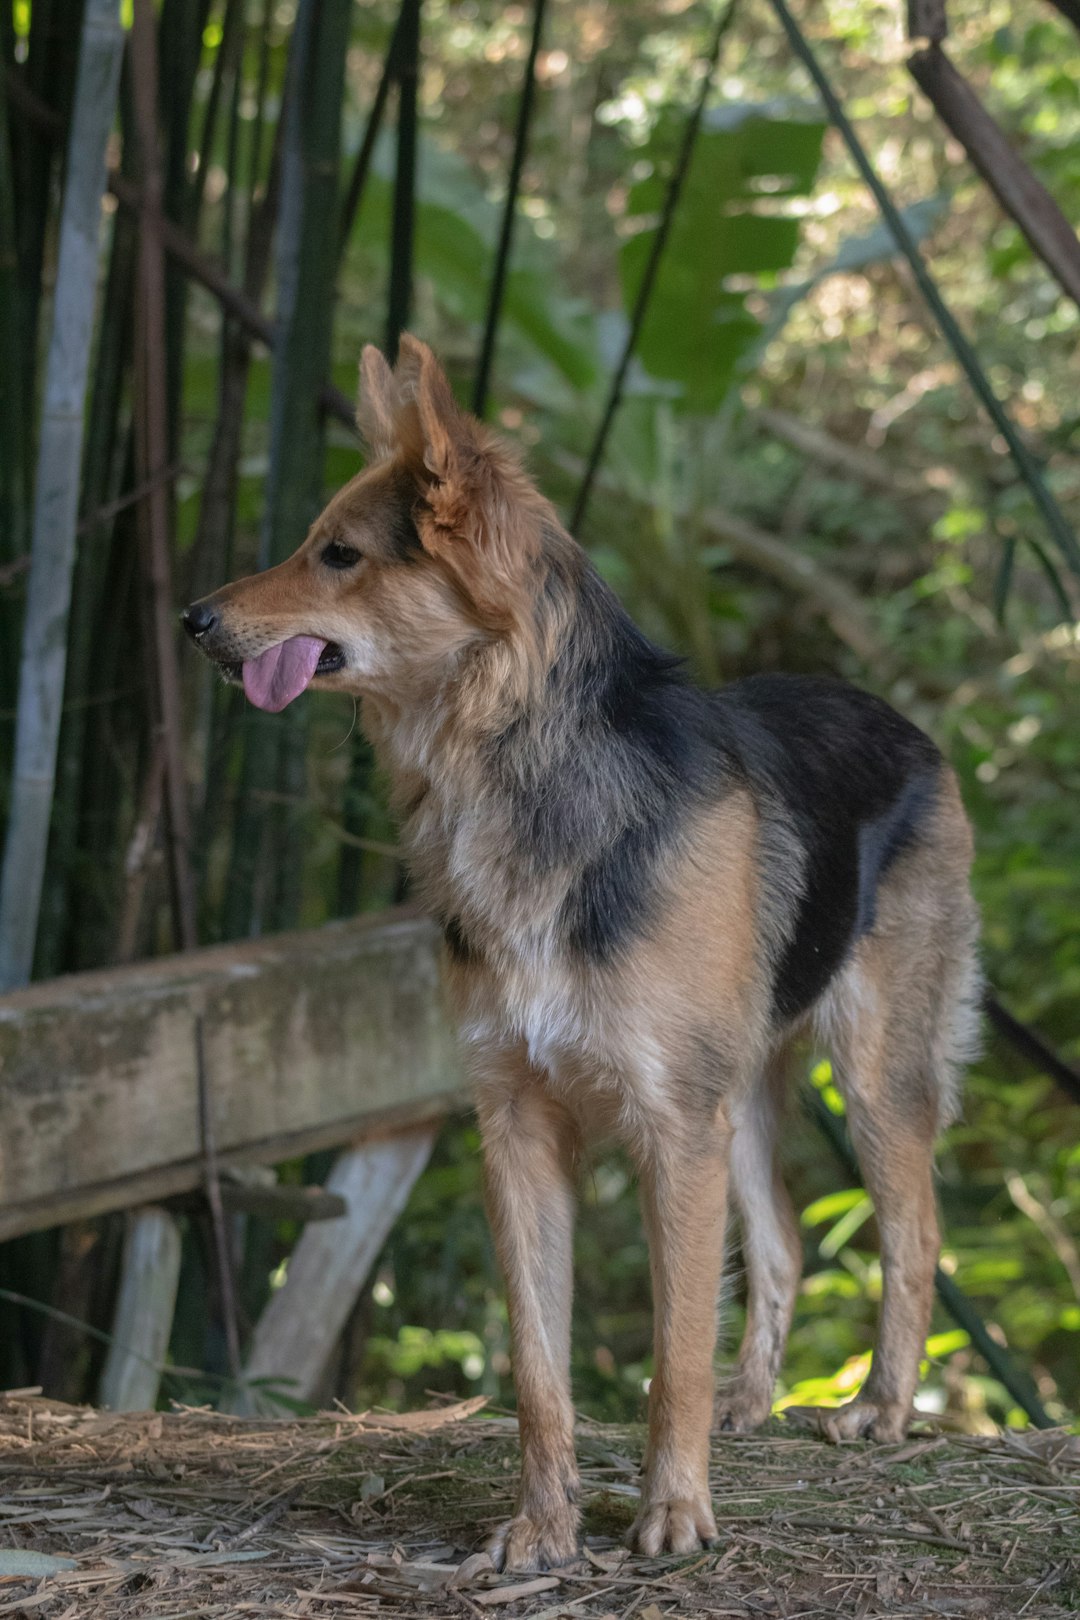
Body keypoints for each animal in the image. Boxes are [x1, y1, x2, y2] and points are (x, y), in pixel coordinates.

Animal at [183, 338, 977, 1568]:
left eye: (339, 555)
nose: (191, 619)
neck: (515, 770)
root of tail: (906, 724)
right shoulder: (518, 1126)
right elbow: (539, 1370)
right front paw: (544, 1527)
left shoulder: (670, 1131)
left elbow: (671, 1355)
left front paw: (673, 1512)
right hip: (745, 1098)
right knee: (784, 1244)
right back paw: (756, 1400)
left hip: (874, 1079)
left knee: (915, 1232)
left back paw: (880, 1409)